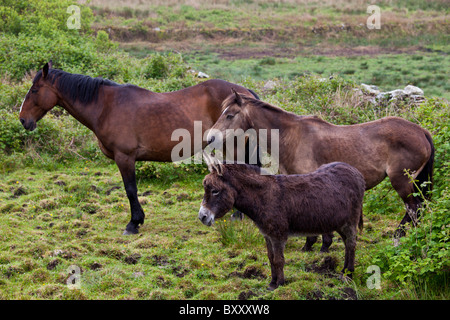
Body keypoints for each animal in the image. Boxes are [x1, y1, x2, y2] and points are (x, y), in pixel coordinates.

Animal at [19, 60, 258, 235]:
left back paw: (237, 215)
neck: (106, 107)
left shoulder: (125, 157)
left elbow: (130, 190)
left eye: (34, 90)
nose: (23, 120)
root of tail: (244, 92)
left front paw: (133, 223)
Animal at [200, 158, 366, 290]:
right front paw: (272, 282)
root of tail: (354, 171)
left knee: (351, 244)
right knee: (346, 244)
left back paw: (349, 275)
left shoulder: (278, 235)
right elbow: (270, 258)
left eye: (215, 191)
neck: (264, 196)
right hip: (340, 222)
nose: (202, 217)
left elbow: (279, 260)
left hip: (350, 221)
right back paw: (344, 272)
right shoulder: (267, 234)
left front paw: (279, 284)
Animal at [207, 90, 432, 248]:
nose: (210, 137)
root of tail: (421, 131)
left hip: (401, 181)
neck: (291, 137)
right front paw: (324, 244)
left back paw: (400, 239)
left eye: (230, 115)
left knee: (414, 209)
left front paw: (312, 244)